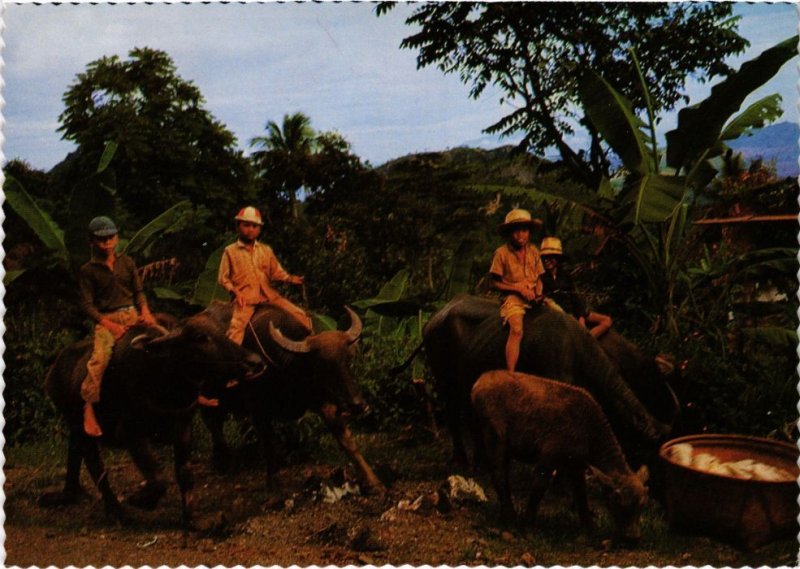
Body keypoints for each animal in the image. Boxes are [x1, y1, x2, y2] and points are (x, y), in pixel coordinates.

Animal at [40, 312, 264, 524]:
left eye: (221, 331)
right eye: (200, 337)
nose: (254, 362)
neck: (164, 381)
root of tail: (52, 370)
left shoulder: (183, 431)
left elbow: (185, 475)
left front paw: (190, 518)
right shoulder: (130, 433)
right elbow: (158, 478)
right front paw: (140, 500)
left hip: (76, 429)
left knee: (76, 453)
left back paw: (71, 494)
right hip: (81, 426)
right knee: (96, 467)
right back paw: (117, 512)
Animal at [198, 302, 384, 492]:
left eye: (347, 360)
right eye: (323, 365)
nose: (357, 404)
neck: (289, 367)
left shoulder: (325, 403)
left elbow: (347, 442)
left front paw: (374, 482)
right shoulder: (258, 411)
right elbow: (269, 446)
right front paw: (273, 485)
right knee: (212, 423)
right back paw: (223, 461)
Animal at [404, 292, 672, 466]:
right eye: (653, 454)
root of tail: (433, 320)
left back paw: (481, 461)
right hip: (444, 377)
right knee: (453, 414)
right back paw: (461, 460)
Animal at [468, 370, 648, 544]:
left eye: (642, 504)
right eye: (619, 501)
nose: (633, 538)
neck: (589, 433)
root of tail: (477, 384)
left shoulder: (576, 465)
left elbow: (581, 494)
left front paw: (588, 530)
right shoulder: (548, 458)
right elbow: (539, 489)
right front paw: (529, 528)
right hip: (496, 438)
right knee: (498, 474)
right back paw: (510, 518)